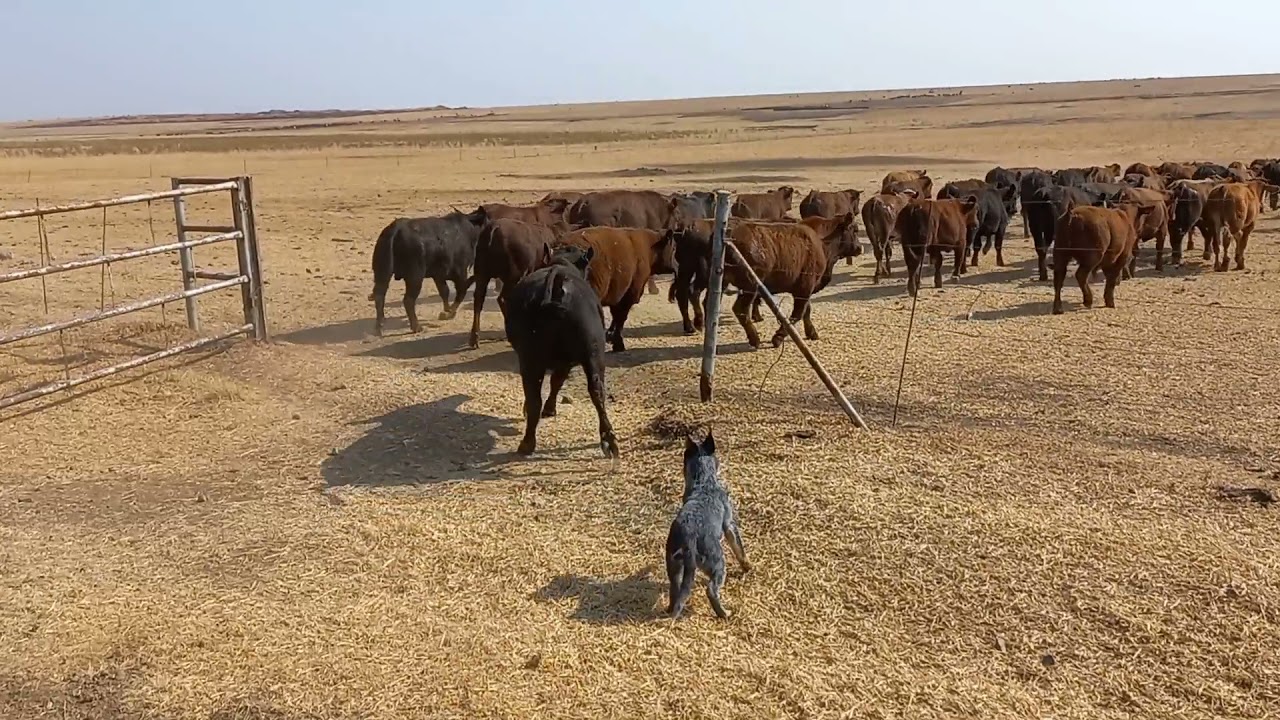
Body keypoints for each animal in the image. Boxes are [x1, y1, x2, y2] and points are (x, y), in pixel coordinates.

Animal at [468, 219, 560, 349]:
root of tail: (494, 228)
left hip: (482, 275)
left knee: (479, 300)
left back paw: (474, 338)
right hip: (512, 278)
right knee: (502, 298)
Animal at [504, 244, 619, 459]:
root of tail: (558, 282)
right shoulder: (568, 362)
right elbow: (557, 382)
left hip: (530, 360)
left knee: (534, 398)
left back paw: (527, 443)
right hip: (593, 354)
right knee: (597, 390)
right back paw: (609, 440)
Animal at [722, 213, 858, 348]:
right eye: (855, 230)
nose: (859, 247)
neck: (821, 240)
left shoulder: (804, 290)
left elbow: (806, 311)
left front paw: (811, 333)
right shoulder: (804, 288)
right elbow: (798, 314)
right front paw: (777, 338)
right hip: (750, 286)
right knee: (740, 309)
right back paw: (755, 339)